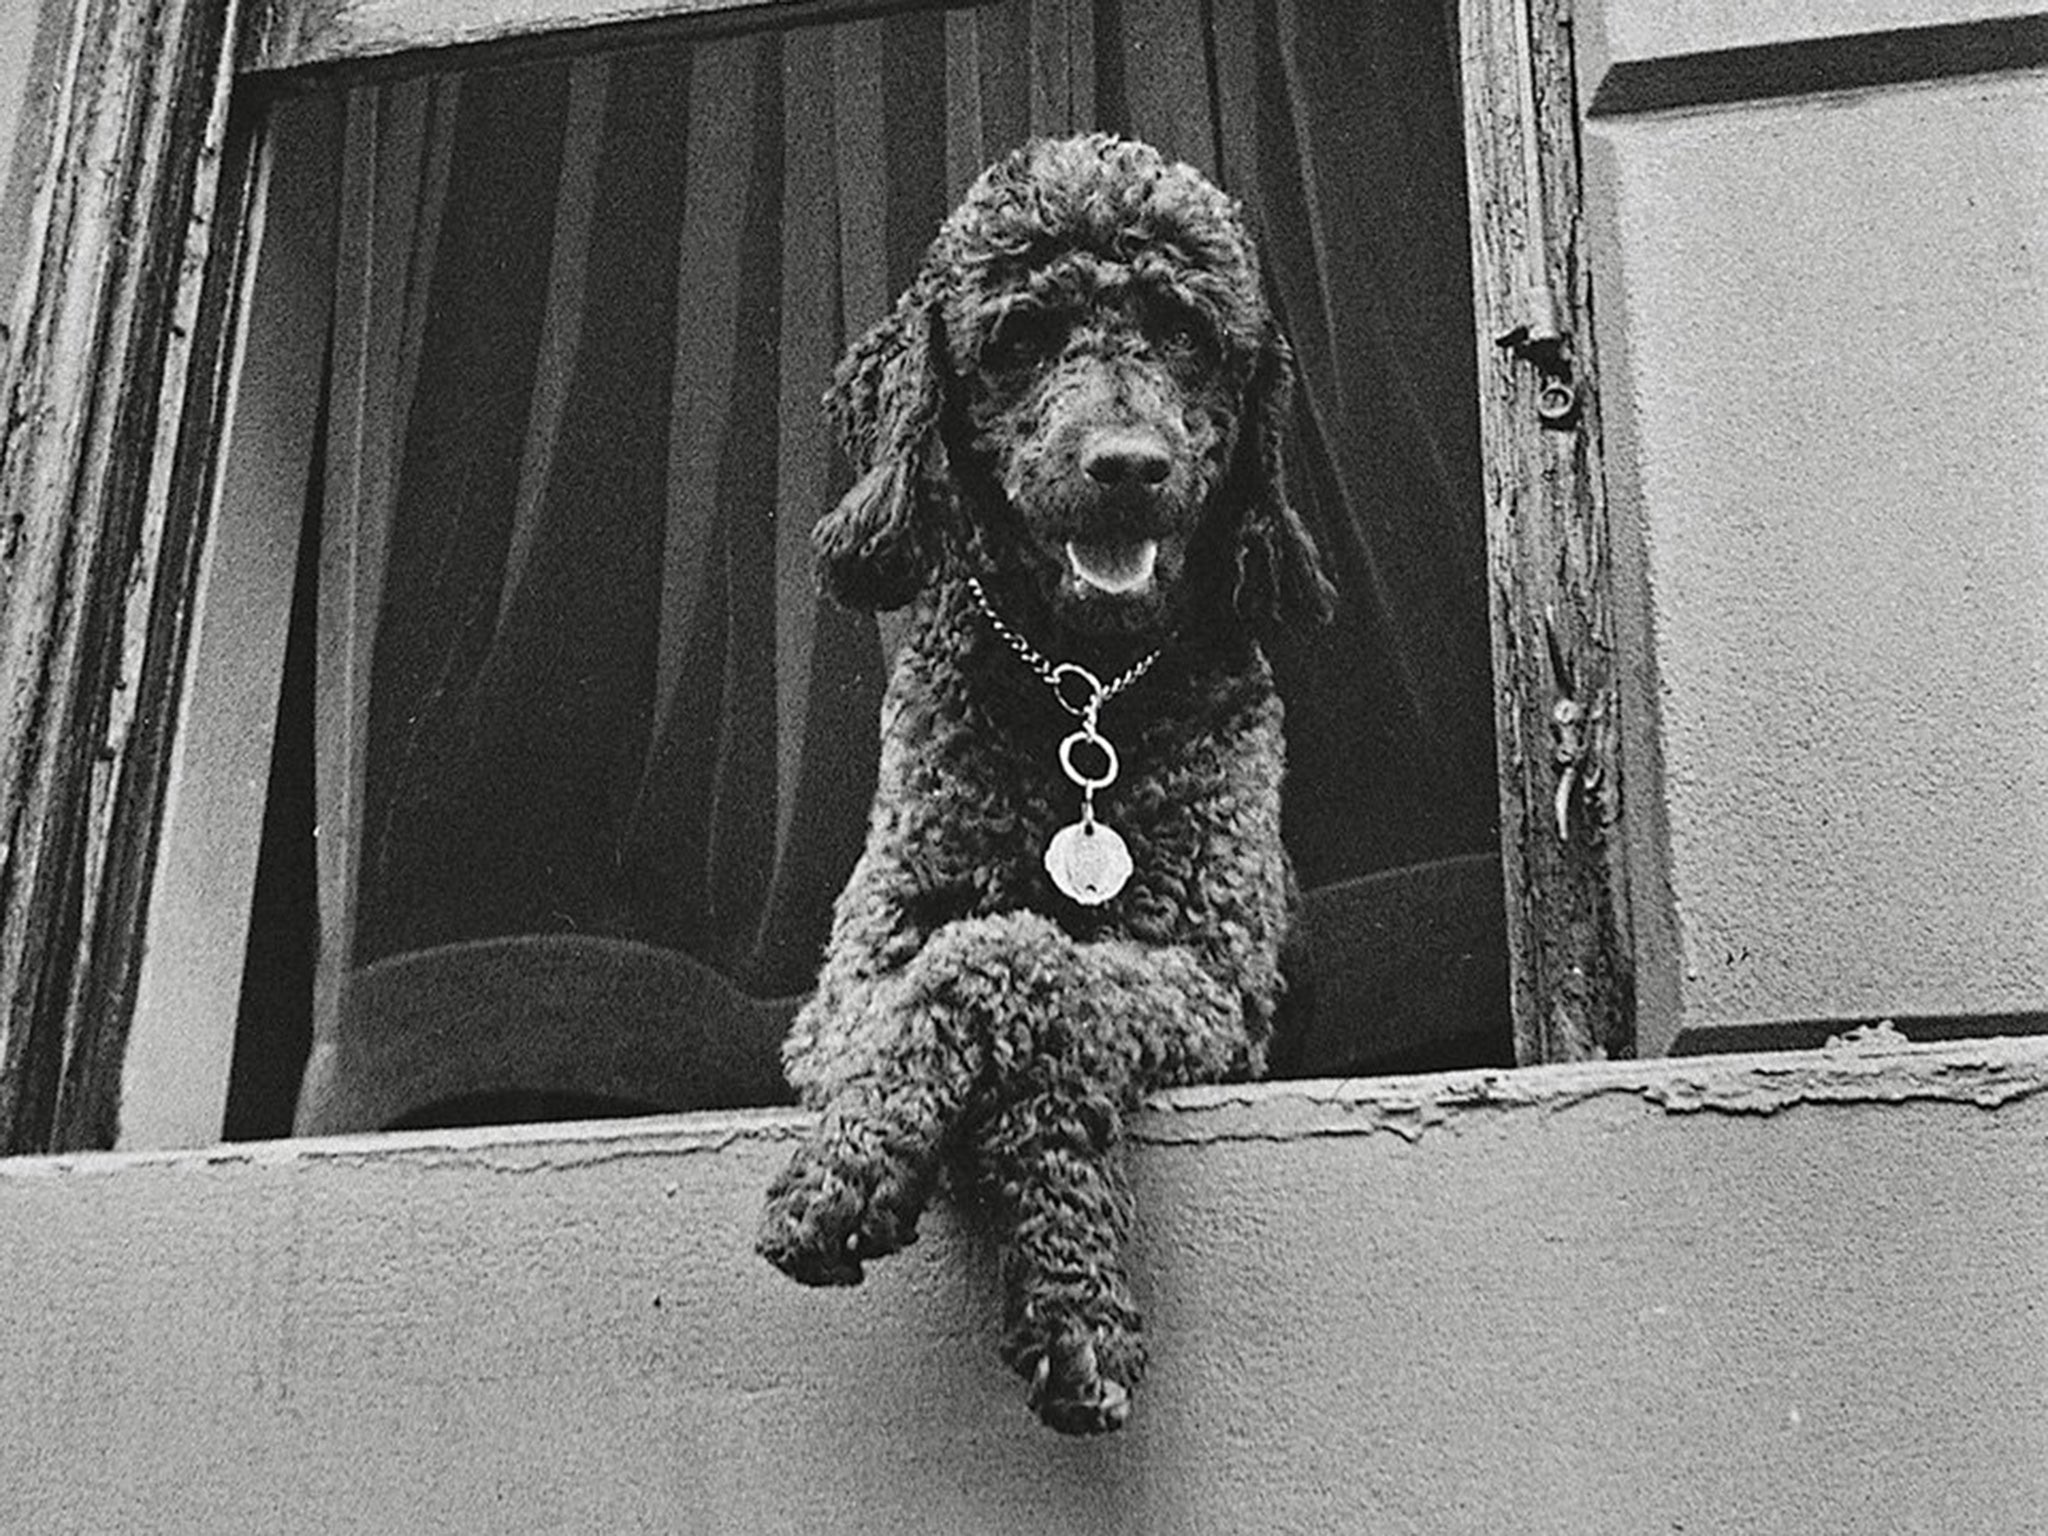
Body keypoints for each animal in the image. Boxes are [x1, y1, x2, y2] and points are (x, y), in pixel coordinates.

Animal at [753, 135, 1327, 1441]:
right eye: (1020, 336)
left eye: (1184, 334)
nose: (1126, 467)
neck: (1083, 692)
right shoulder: (852, 975)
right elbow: (960, 973)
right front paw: (845, 1170)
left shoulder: (1210, 982)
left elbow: (1017, 967)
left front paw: (1077, 1304)